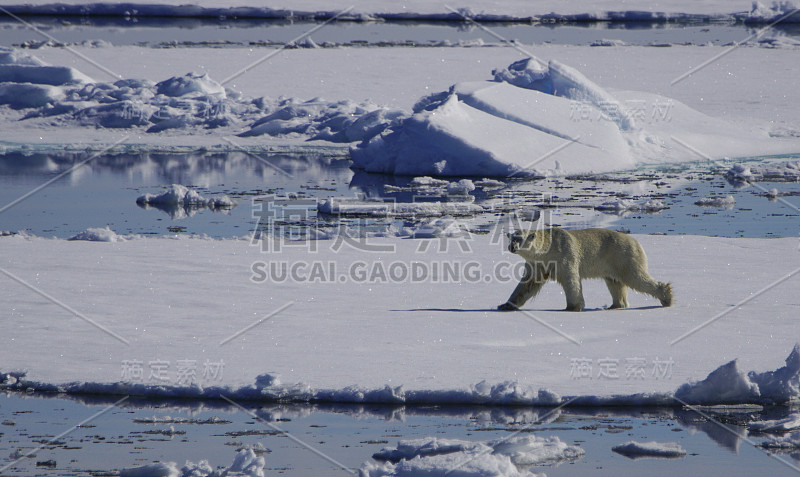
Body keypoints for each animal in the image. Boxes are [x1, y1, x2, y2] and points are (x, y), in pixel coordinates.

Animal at [500, 227, 676, 312]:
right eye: (511, 237)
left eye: (519, 238)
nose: (511, 247)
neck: (547, 249)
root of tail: (636, 242)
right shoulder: (536, 263)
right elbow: (527, 284)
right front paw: (505, 305)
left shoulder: (564, 254)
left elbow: (571, 280)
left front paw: (572, 307)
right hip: (613, 263)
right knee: (615, 283)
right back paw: (615, 305)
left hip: (623, 255)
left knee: (635, 277)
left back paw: (666, 297)